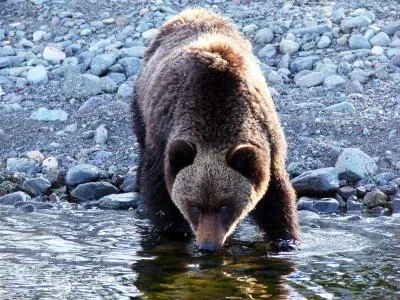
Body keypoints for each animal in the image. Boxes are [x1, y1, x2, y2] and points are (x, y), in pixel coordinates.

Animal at [133, 7, 298, 252]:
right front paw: (173, 233)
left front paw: (287, 238)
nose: (208, 246)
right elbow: (160, 194)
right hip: (142, 103)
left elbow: (276, 198)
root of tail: (194, 11)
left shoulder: (269, 142)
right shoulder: (163, 138)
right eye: (195, 206)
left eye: (224, 206)